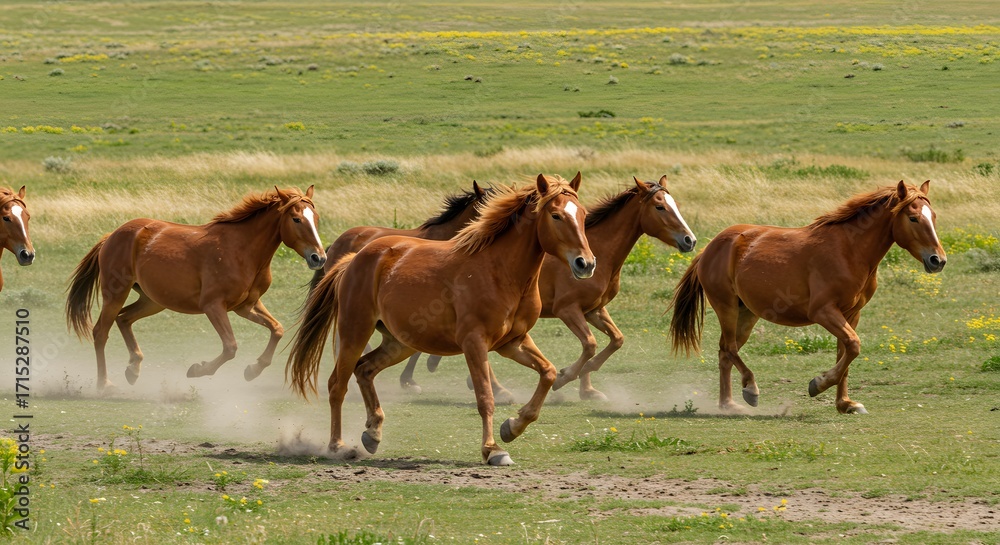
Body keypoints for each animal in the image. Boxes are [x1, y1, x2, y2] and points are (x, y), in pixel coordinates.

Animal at [67, 186, 326, 391]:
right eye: (296, 219)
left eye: (316, 218)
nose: (319, 258)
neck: (242, 250)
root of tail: (112, 235)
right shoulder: (213, 306)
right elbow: (230, 347)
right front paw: (198, 369)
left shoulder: (246, 306)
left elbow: (277, 329)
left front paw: (253, 370)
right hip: (116, 293)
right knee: (100, 332)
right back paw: (104, 384)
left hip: (153, 300)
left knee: (124, 319)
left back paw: (133, 369)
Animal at [286, 173, 595, 466]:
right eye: (555, 215)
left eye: (582, 214)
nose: (586, 264)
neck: (501, 272)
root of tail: (353, 258)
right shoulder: (474, 342)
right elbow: (485, 397)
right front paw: (492, 450)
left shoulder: (513, 342)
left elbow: (549, 372)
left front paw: (513, 427)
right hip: (355, 331)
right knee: (337, 384)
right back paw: (337, 446)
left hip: (399, 342)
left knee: (364, 370)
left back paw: (373, 433)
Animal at [404, 176, 697, 401]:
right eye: (660, 207)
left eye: (674, 205)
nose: (690, 240)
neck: (600, 251)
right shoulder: (568, 309)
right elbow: (590, 344)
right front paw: (566, 377)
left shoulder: (594, 309)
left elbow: (615, 340)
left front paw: (587, 390)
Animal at [669, 181, 945, 414]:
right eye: (913, 218)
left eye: (933, 217)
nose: (938, 260)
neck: (849, 250)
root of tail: (711, 246)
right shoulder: (823, 311)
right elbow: (854, 346)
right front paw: (818, 384)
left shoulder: (851, 314)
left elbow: (846, 353)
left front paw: (846, 404)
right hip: (726, 307)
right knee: (729, 348)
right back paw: (750, 389)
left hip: (747, 314)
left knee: (724, 352)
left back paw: (729, 404)